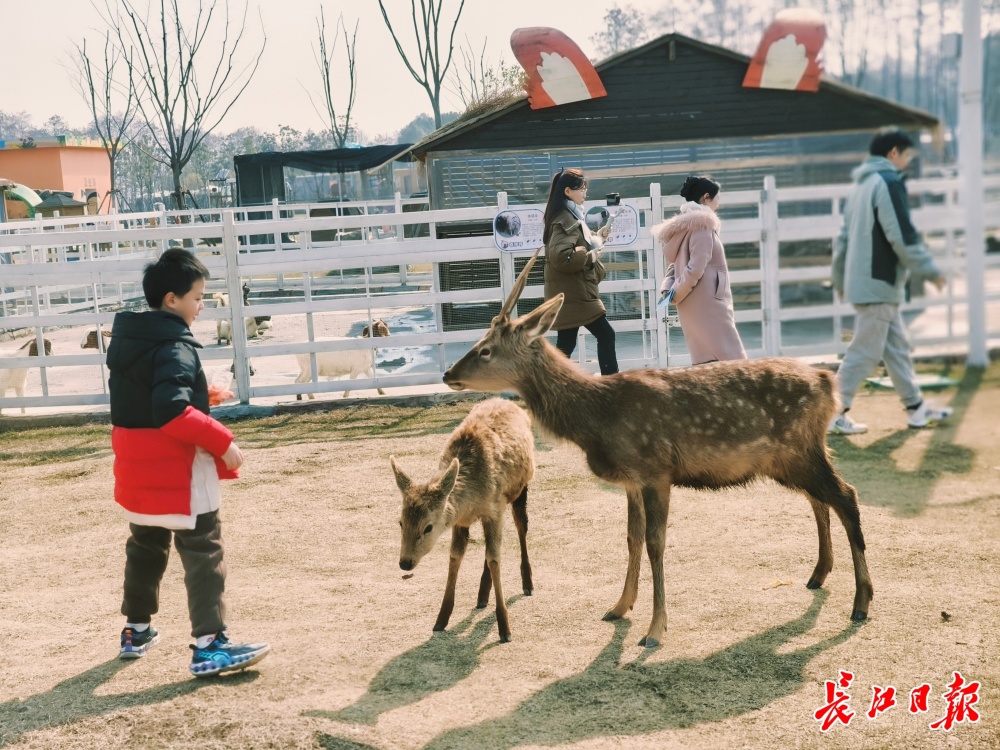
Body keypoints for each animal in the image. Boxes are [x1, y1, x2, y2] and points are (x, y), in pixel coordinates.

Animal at [388, 400, 536, 648]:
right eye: (400, 522)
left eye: (428, 527)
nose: (405, 563)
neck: (473, 500)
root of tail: (510, 402)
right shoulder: (462, 521)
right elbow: (456, 557)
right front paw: (441, 619)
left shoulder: (495, 509)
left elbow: (495, 559)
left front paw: (505, 628)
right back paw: (482, 595)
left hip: (520, 488)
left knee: (521, 527)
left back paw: (527, 583)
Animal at [442, 250, 872, 648]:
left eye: (485, 350)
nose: (447, 373)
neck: (598, 417)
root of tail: (827, 382)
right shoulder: (632, 480)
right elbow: (631, 538)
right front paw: (619, 607)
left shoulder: (656, 470)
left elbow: (655, 543)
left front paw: (654, 630)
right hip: (794, 456)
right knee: (820, 500)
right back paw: (818, 575)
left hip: (799, 449)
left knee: (846, 496)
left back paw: (861, 602)